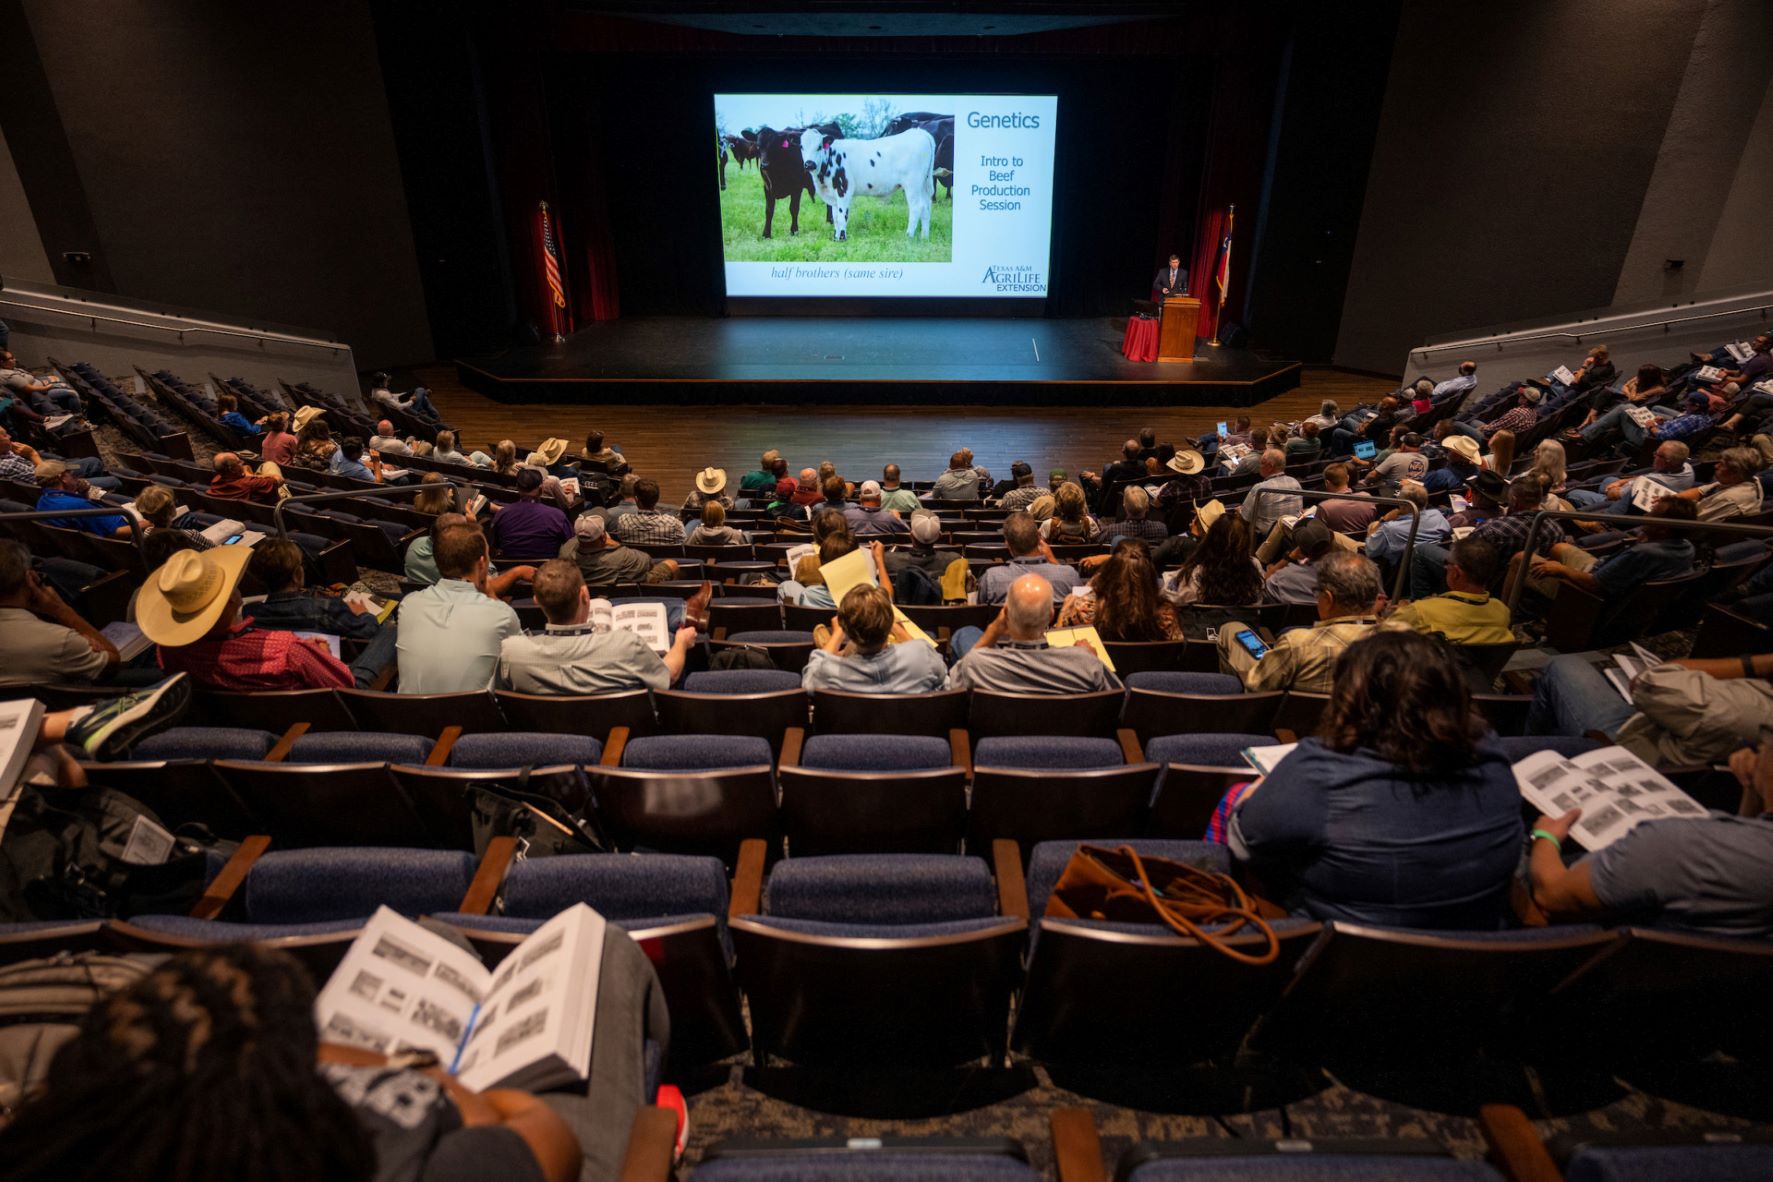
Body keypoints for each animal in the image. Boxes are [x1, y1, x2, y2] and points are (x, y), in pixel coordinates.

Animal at [804, 125, 943, 241]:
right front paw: (836, 238)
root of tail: (919, 132)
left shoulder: (844, 189)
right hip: (924, 184)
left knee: (916, 208)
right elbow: (836, 218)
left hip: (912, 184)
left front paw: (842, 239)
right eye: (802, 147)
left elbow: (842, 216)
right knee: (926, 208)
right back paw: (924, 237)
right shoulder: (833, 195)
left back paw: (908, 236)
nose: (809, 164)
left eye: (819, 147)